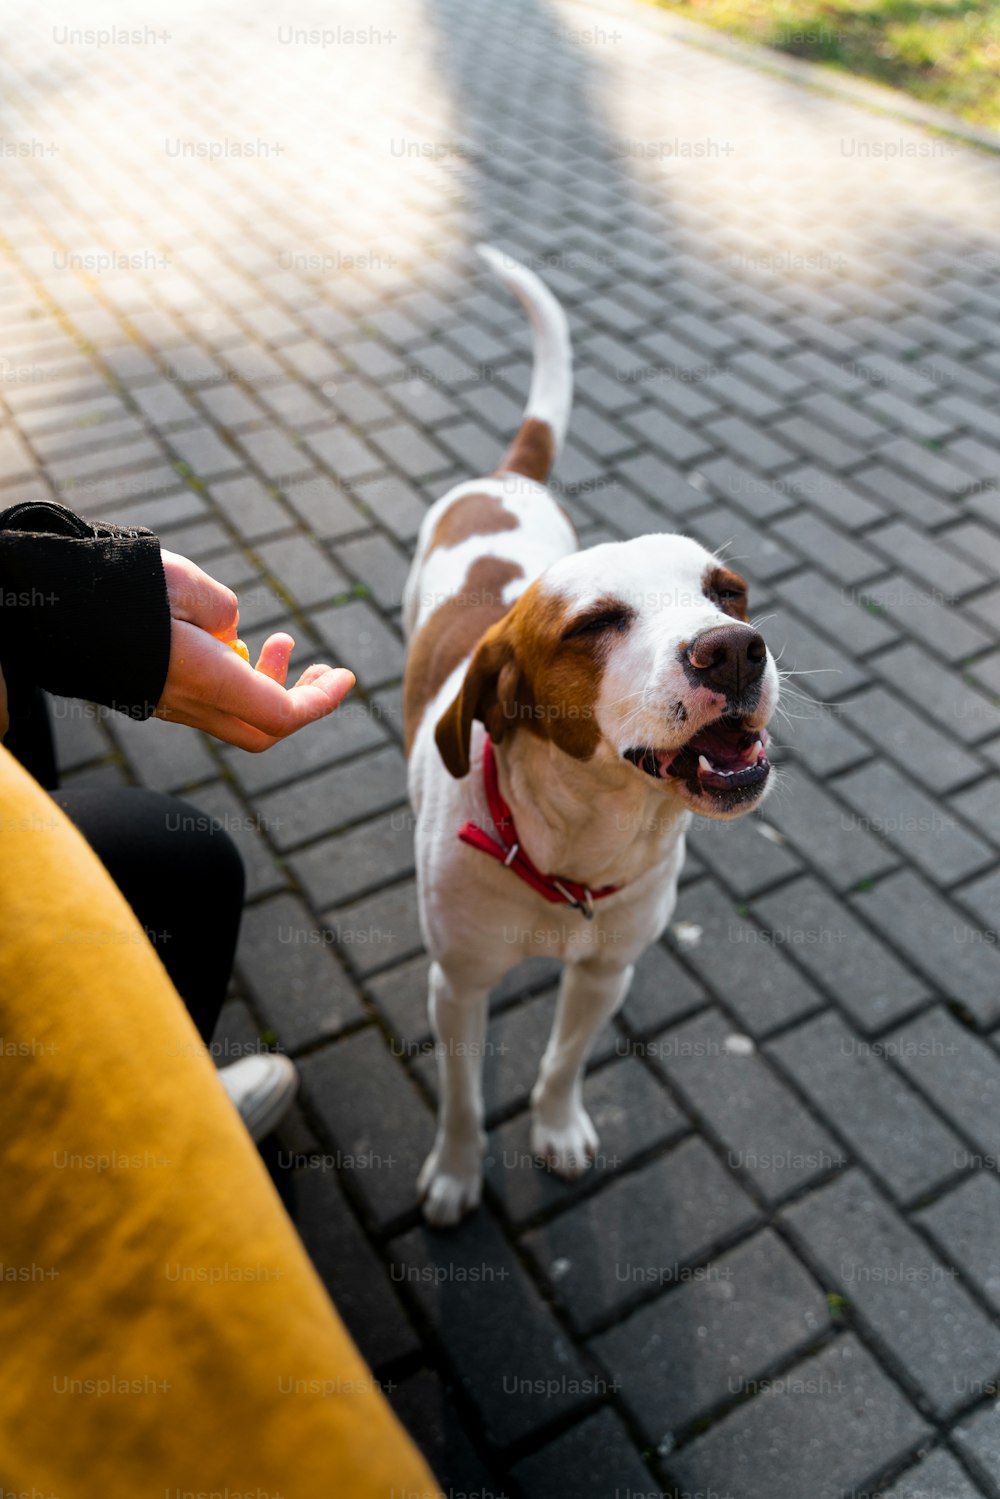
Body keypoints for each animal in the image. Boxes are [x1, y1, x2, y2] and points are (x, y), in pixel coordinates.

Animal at [401, 248, 779, 1229]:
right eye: (596, 622)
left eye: (727, 592)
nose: (734, 650)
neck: (579, 840)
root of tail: (509, 478)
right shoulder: (457, 985)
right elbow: (461, 1100)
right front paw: (455, 1173)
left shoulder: (607, 970)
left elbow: (565, 1060)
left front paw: (558, 1125)